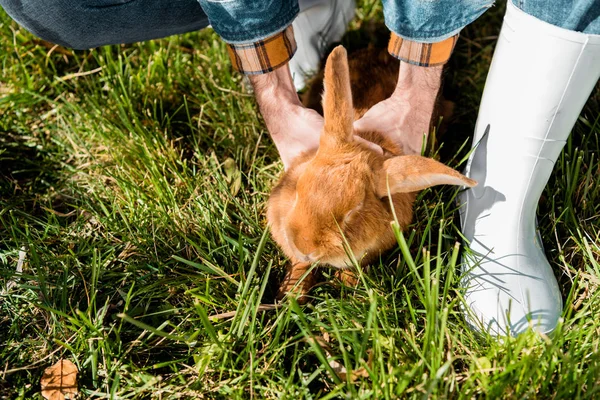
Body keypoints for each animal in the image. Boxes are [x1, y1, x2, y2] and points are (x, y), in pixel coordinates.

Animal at [270, 46, 476, 300]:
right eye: (298, 190)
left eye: (353, 211)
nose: (305, 246)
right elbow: (300, 265)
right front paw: (290, 294)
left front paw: (350, 287)